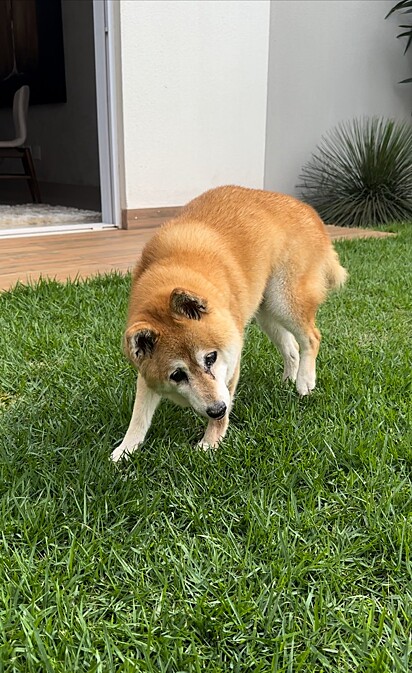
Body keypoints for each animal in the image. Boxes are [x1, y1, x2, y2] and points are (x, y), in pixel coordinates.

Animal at [111, 186, 346, 460]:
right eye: (177, 375)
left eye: (210, 358)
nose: (217, 409)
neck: (176, 265)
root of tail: (309, 210)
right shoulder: (146, 373)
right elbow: (139, 415)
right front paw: (125, 449)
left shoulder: (232, 360)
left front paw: (210, 443)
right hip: (266, 311)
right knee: (292, 348)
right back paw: (289, 377)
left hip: (283, 300)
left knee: (311, 337)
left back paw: (304, 381)